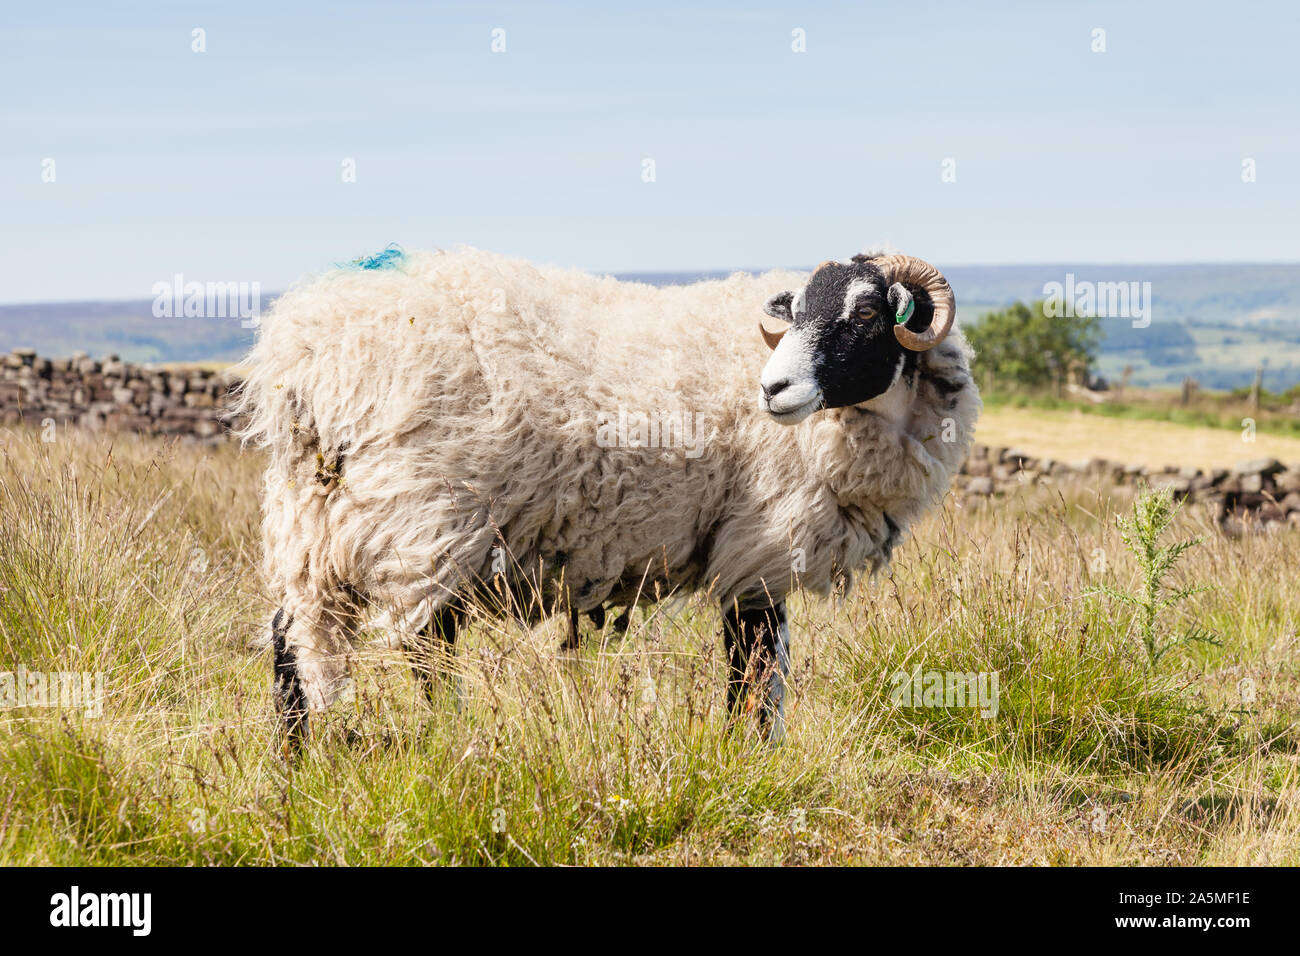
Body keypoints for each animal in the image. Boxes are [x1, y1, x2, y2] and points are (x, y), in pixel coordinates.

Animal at [236, 247, 980, 745]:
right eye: (795, 311)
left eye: (867, 311)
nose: (773, 389)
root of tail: (309, 352)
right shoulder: (759, 545)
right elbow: (759, 668)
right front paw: (751, 753)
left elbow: (756, 667)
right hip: (426, 517)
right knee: (424, 646)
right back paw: (453, 739)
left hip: (315, 519)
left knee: (291, 637)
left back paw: (295, 761)